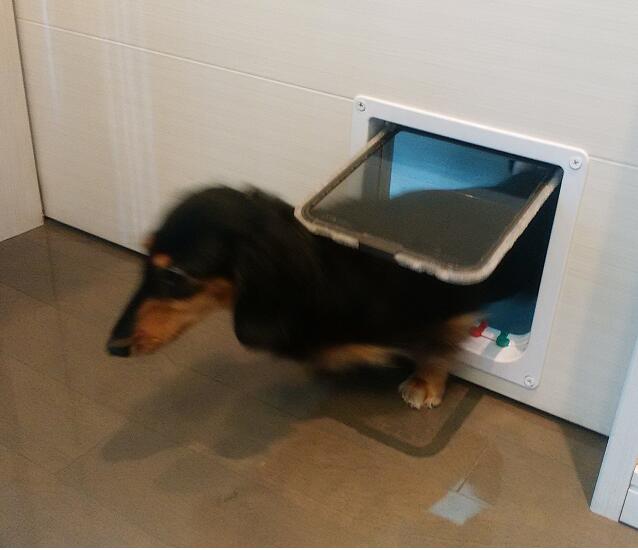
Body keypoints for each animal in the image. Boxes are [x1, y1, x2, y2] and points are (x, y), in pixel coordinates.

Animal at [107, 184, 551, 409]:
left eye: (175, 275)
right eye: (145, 255)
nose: (113, 347)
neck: (321, 274)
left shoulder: (437, 308)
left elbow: (436, 346)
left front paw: (426, 383)